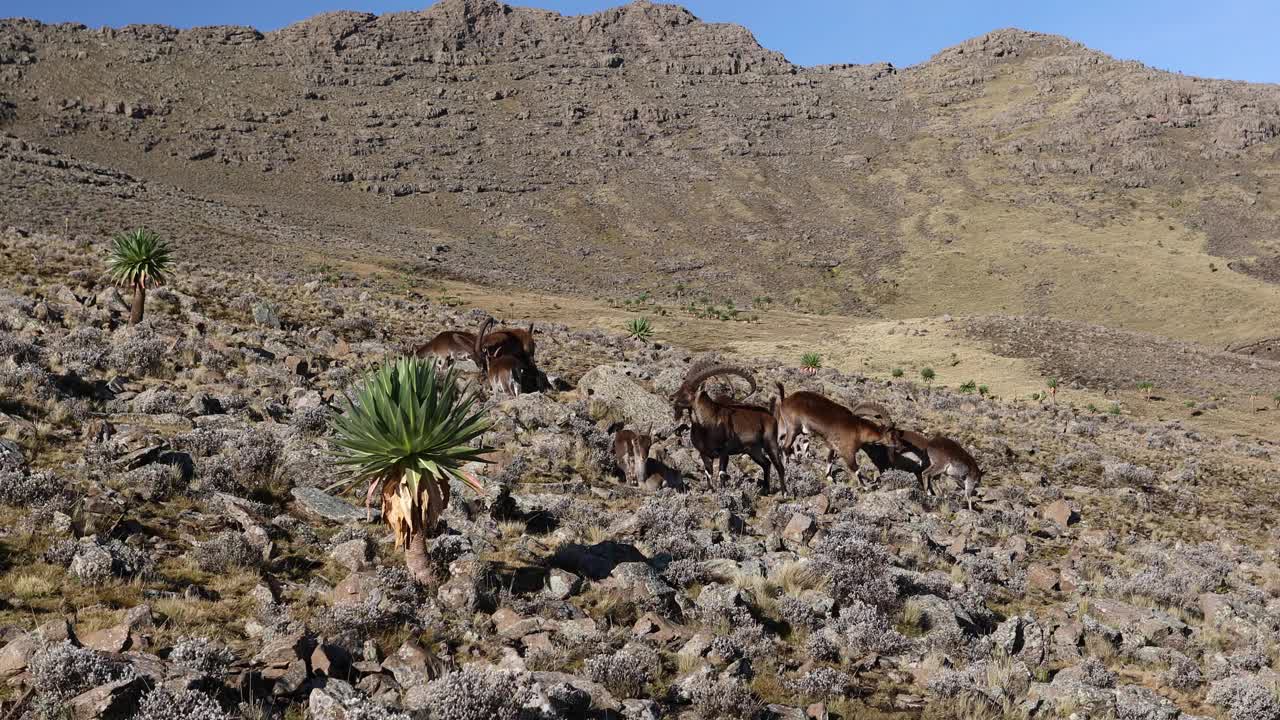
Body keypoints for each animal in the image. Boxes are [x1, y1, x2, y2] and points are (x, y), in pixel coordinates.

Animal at [675, 363, 783, 491]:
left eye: (691, 391)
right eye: (681, 387)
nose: (672, 398)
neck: (705, 427)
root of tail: (770, 416)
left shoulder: (724, 452)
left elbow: (722, 473)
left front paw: (722, 490)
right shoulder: (704, 453)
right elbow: (708, 474)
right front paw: (710, 490)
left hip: (770, 442)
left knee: (779, 466)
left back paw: (784, 492)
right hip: (753, 450)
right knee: (766, 463)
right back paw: (765, 490)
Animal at [768, 381, 901, 481]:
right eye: (892, 434)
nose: (898, 446)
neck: (858, 430)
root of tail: (785, 400)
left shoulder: (832, 445)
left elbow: (830, 460)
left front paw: (829, 477)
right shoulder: (847, 451)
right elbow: (856, 470)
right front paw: (866, 487)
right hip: (793, 428)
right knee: (785, 447)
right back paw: (787, 466)